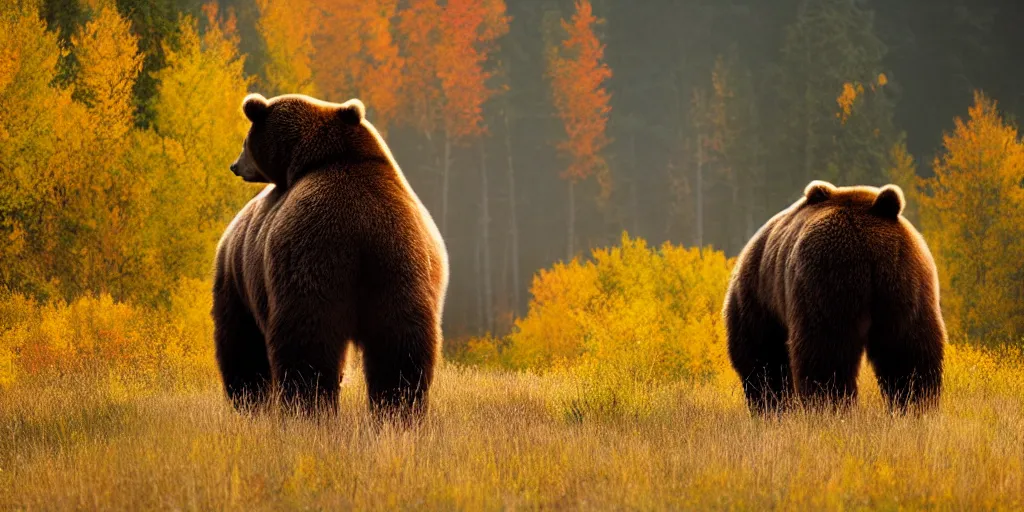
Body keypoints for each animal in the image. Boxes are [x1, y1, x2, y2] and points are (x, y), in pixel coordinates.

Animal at [211, 92, 448, 419]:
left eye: (245, 141)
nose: (235, 165)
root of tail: (361, 237)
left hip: (306, 262)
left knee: (289, 345)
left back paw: (294, 407)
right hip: (400, 269)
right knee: (400, 350)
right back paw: (399, 411)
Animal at [724, 182, 946, 413]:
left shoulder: (761, 299)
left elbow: (764, 356)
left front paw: (771, 403)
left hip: (828, 279)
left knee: (826, 351)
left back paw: (828, 405)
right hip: (905, 283)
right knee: (909, 352)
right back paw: (917, 405)